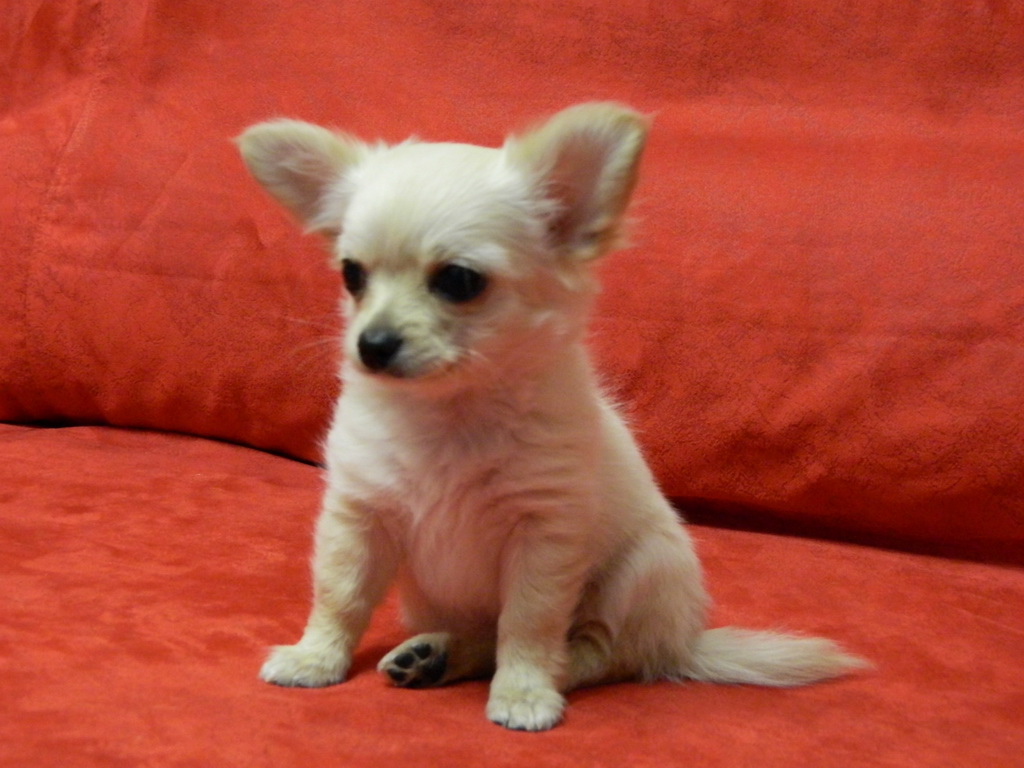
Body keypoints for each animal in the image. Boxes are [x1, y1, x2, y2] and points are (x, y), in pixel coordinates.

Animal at [237, 103, 867, 731]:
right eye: (352, 275)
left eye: (458, 279)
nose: (371, 345)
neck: (450, 415)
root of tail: (682, 642)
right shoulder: (359, 516)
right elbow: (339, 594)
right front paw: (315, 657)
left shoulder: (543, 535)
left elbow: (529, 624)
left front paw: (523, 692)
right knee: (483, 636)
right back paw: (433, 655)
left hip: (641, 571)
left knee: (598, 653)